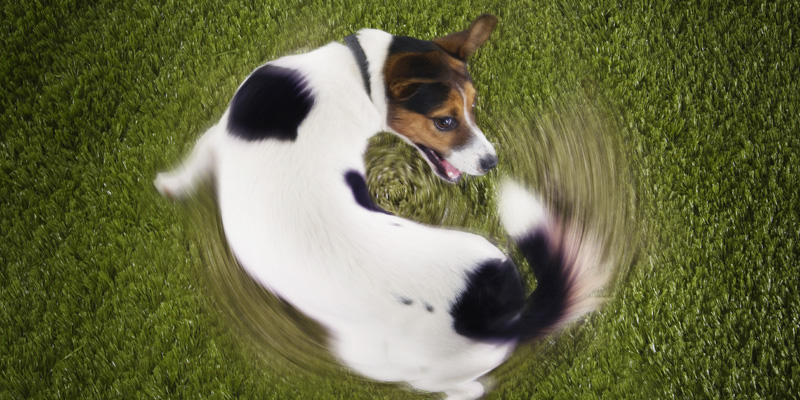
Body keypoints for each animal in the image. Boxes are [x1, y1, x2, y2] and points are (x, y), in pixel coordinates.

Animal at [155, 14, 608, 398]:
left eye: (473, 108)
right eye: (446, 120)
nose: (491, 163)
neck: (356, 76)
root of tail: (502, 315)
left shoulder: (217, 134)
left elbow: (191, 163)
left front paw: (167, 186)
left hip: (386, 362)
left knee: (465, 389)